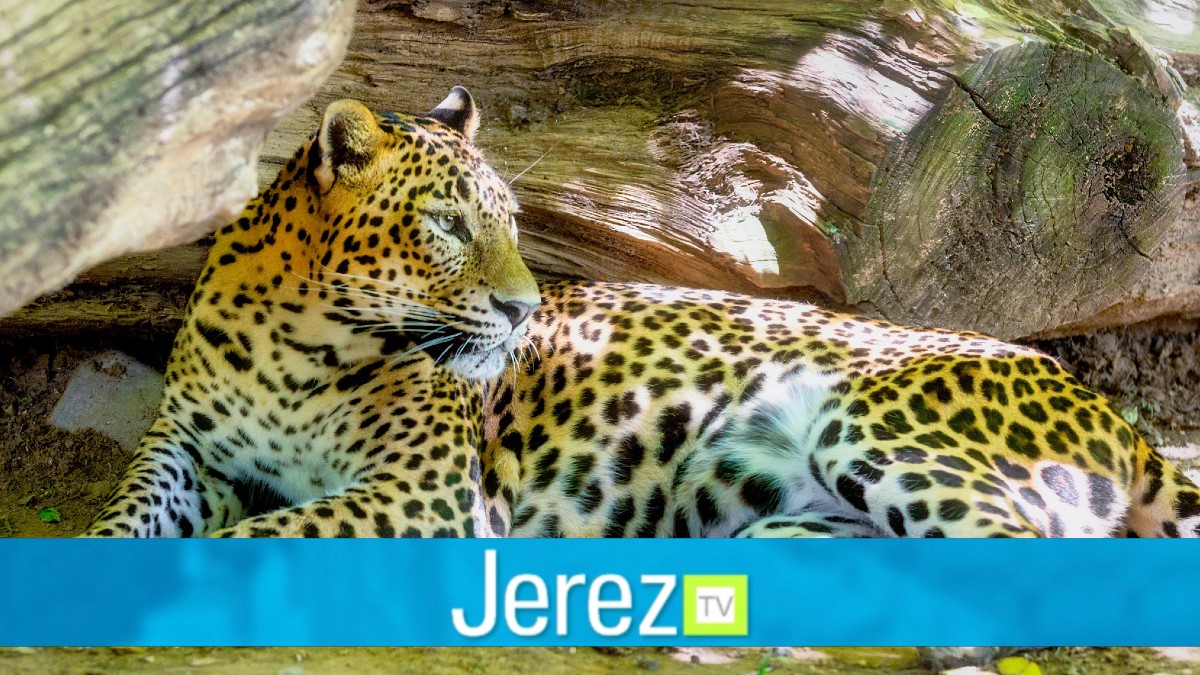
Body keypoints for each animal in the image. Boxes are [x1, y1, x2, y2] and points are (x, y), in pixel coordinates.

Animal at [86, 87, 1200, 539]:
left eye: (509, 222)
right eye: (447, 225)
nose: (522, 308)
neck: (298, 345)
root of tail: (1111, 411)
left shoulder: (427, 493)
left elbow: (270, 532)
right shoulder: (184, 447)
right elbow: (131, 510)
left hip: (879, 426)